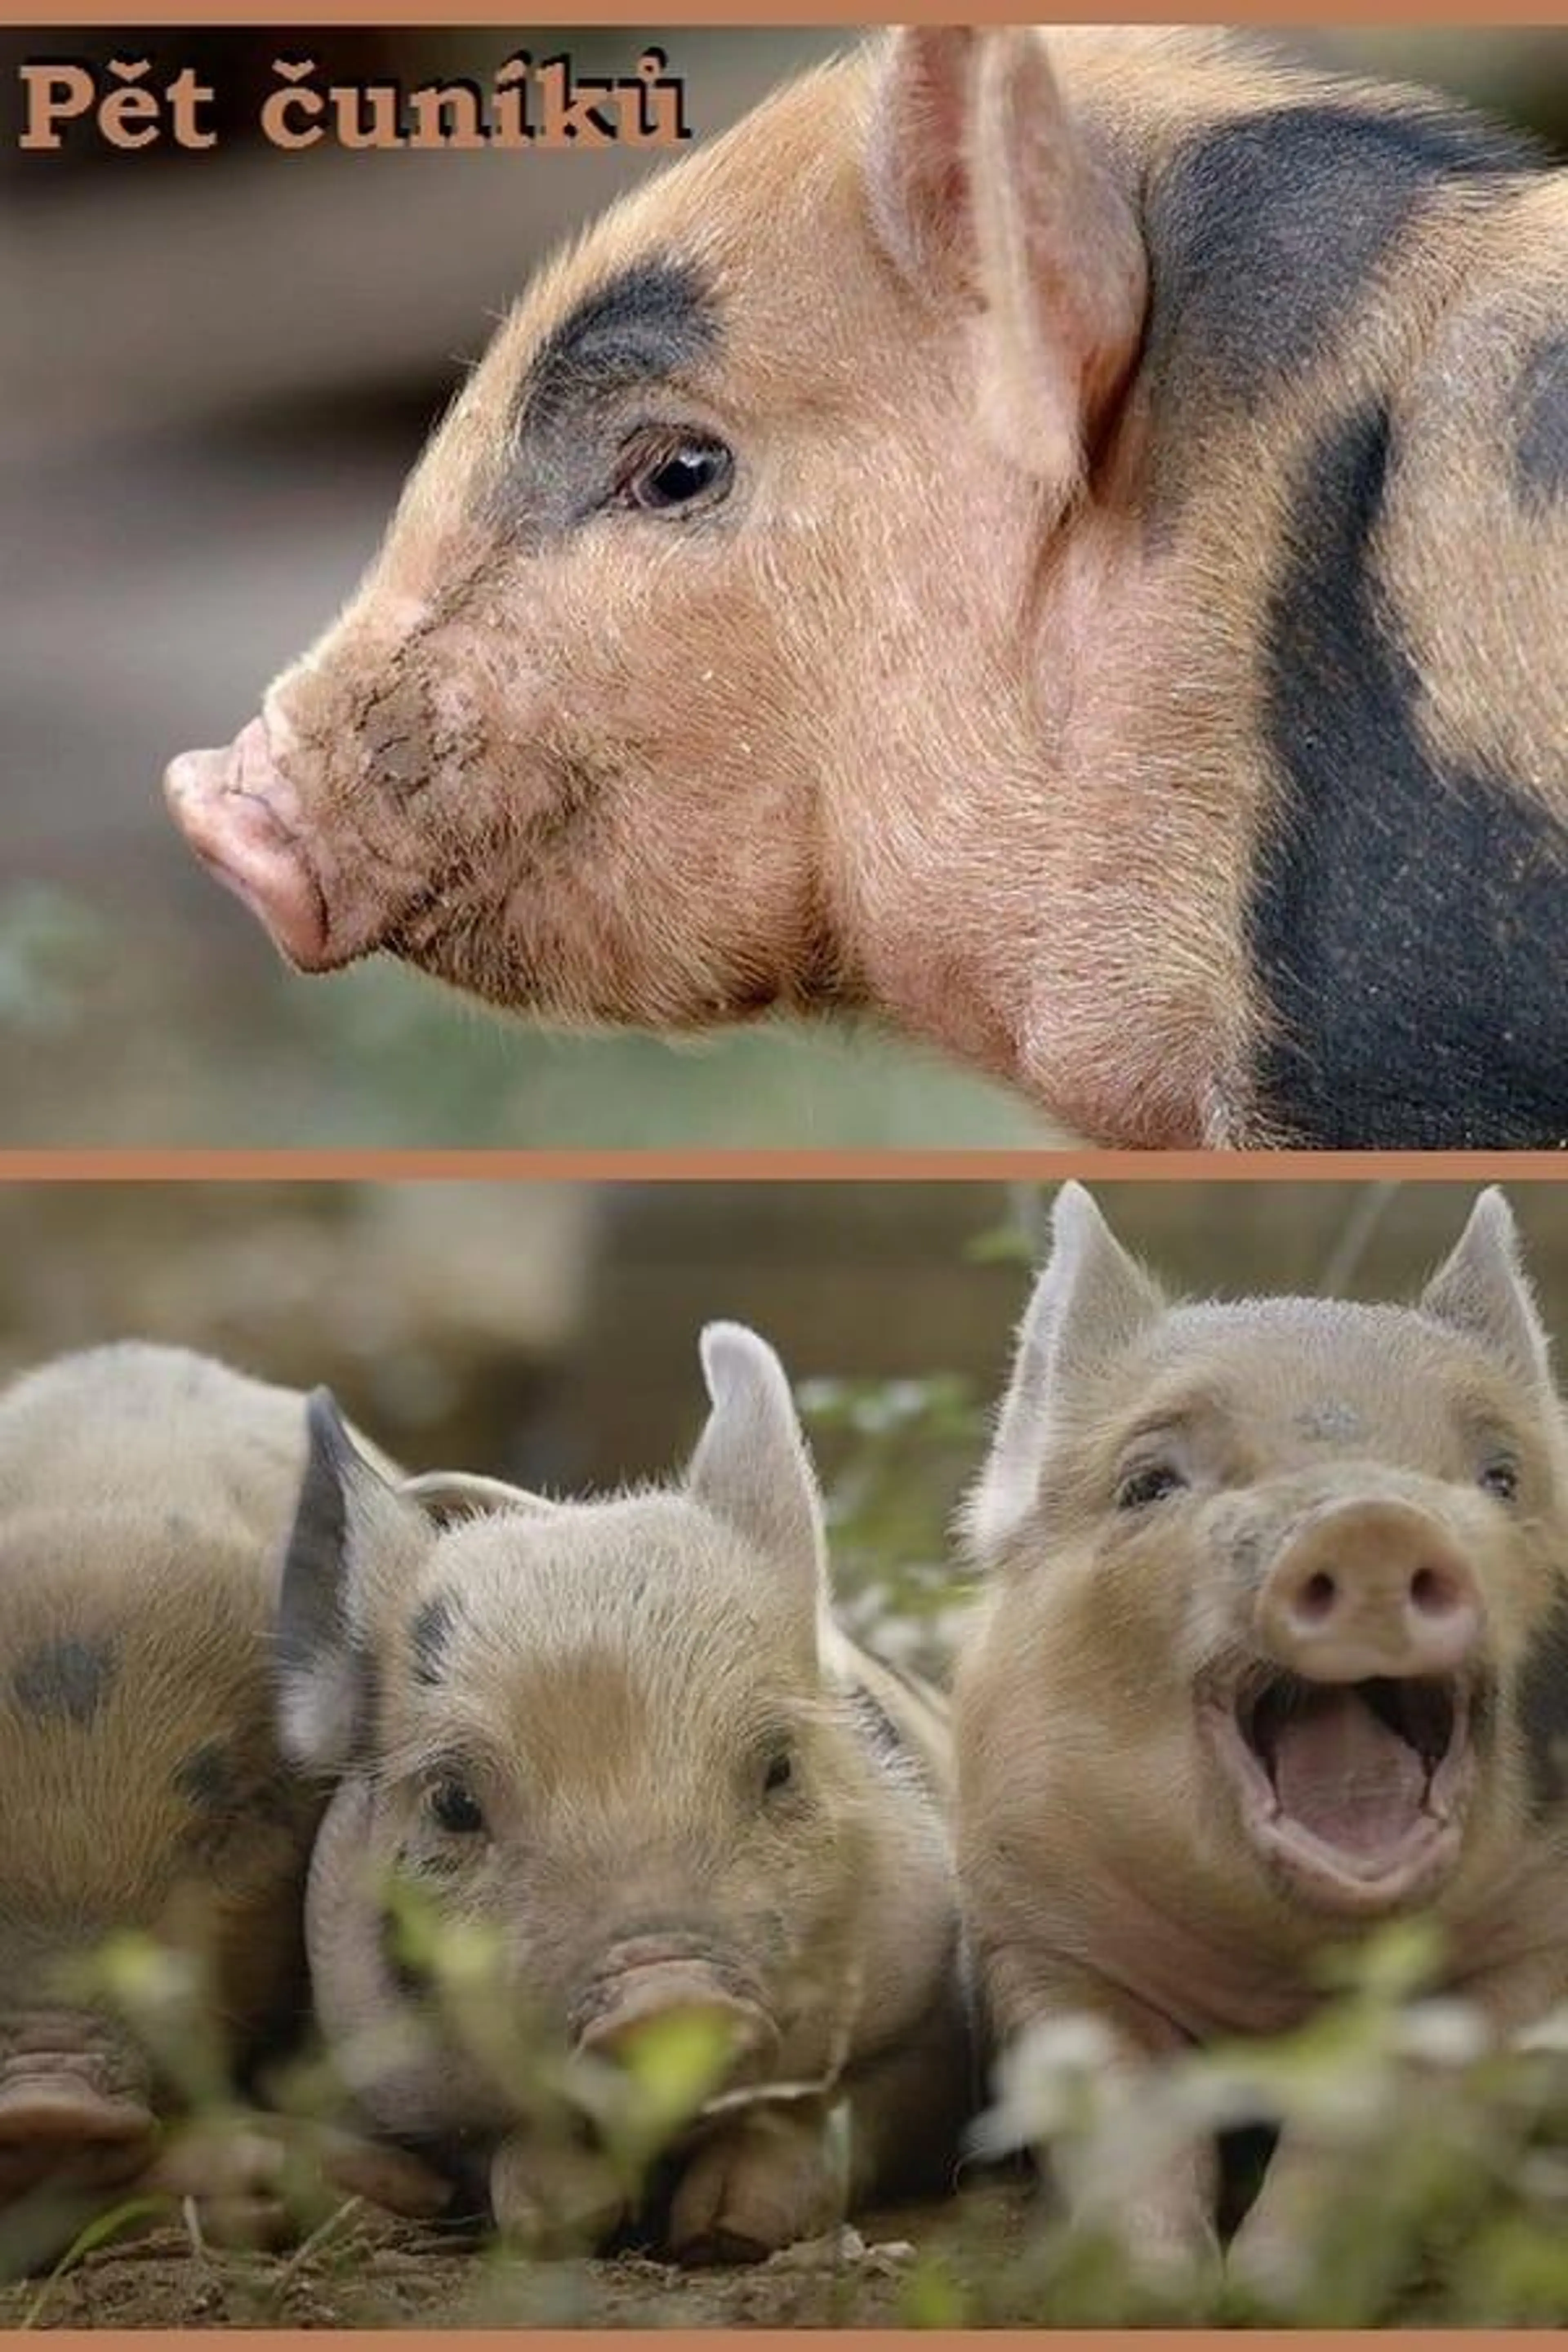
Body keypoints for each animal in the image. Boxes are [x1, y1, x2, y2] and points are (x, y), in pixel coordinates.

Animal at [274, 1320, 971, 2263]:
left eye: (780, 1765)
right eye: (454, 1803)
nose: (667, 1993)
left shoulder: (932, 2019)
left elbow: (844, 2111)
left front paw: (726, 2228)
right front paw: (573, 2216)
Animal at [955, 1183, 1568, 2284]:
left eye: (1500, 1478)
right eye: (1149, 1483)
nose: (1370, 1519)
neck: (1279, 1983)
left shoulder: (1536, 1950)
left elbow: (1394, 2101)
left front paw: (1271, 2285)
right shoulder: (1027, 1927)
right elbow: (1119, 2096)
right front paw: (1158, 2286)